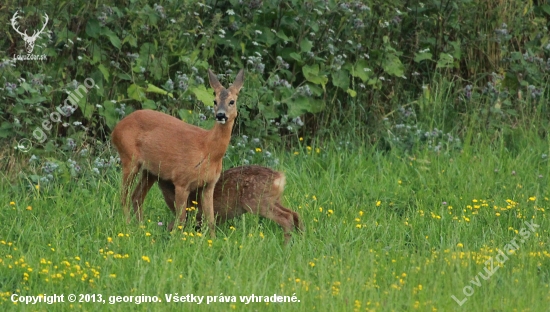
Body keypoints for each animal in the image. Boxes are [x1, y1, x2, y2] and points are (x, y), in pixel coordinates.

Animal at [111, 69, 245, 238]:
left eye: (232, 101)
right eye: (214, 101)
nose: (220, 115)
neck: (207, 150)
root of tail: (115, 130)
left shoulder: (209, 185)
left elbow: (210, 219)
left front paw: (213, 240)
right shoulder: (181, 181)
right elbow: (181, 218)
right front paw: (177, 240)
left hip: (151, 171)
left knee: (136, 196)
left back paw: (141, 228)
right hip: (129, 158)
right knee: (124, 195)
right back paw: (128, 225)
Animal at [153, 166, 304, 244]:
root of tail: (279, 178)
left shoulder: (192, 214)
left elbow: (173, 225)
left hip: (257, 202)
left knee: (286, 217)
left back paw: (286, 245)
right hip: (273, 200)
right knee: (294, 213)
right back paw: (301, 237)